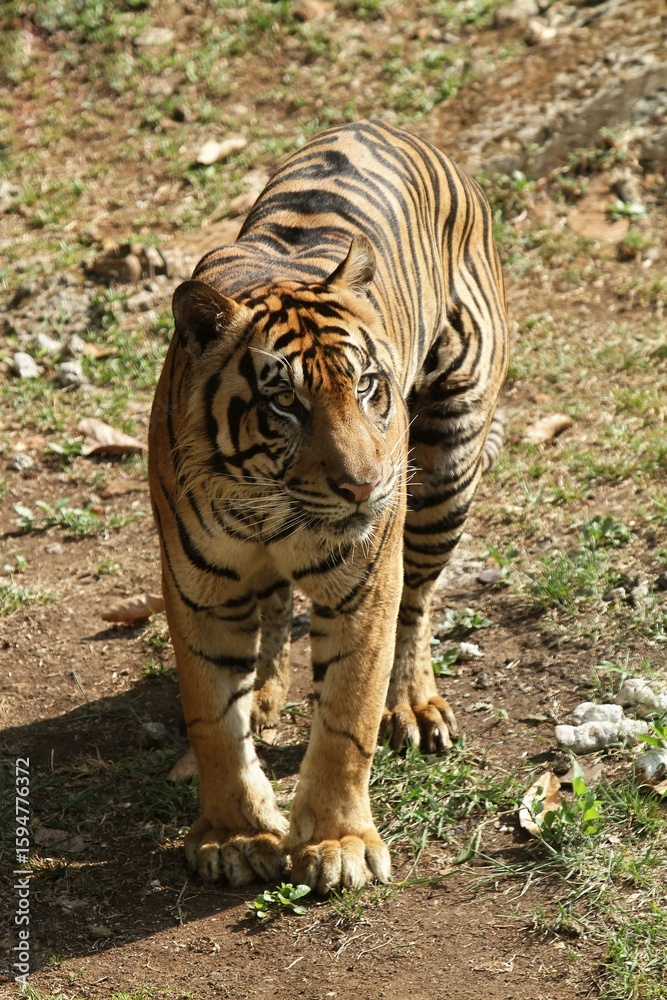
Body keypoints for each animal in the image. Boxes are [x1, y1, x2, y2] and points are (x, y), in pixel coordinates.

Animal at [148, 118, 509, 894]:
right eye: (285, 402)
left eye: (368, 385)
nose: (365, 486)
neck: (264, 506)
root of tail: (390, 125)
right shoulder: (196, 589)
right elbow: (212, 720)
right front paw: (234, 835)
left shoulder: (362, 585)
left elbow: (347, 714)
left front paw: (337, 844)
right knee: (274, 609)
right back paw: (265, 691)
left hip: (448, 464)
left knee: (417, 604)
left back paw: (412, 707)